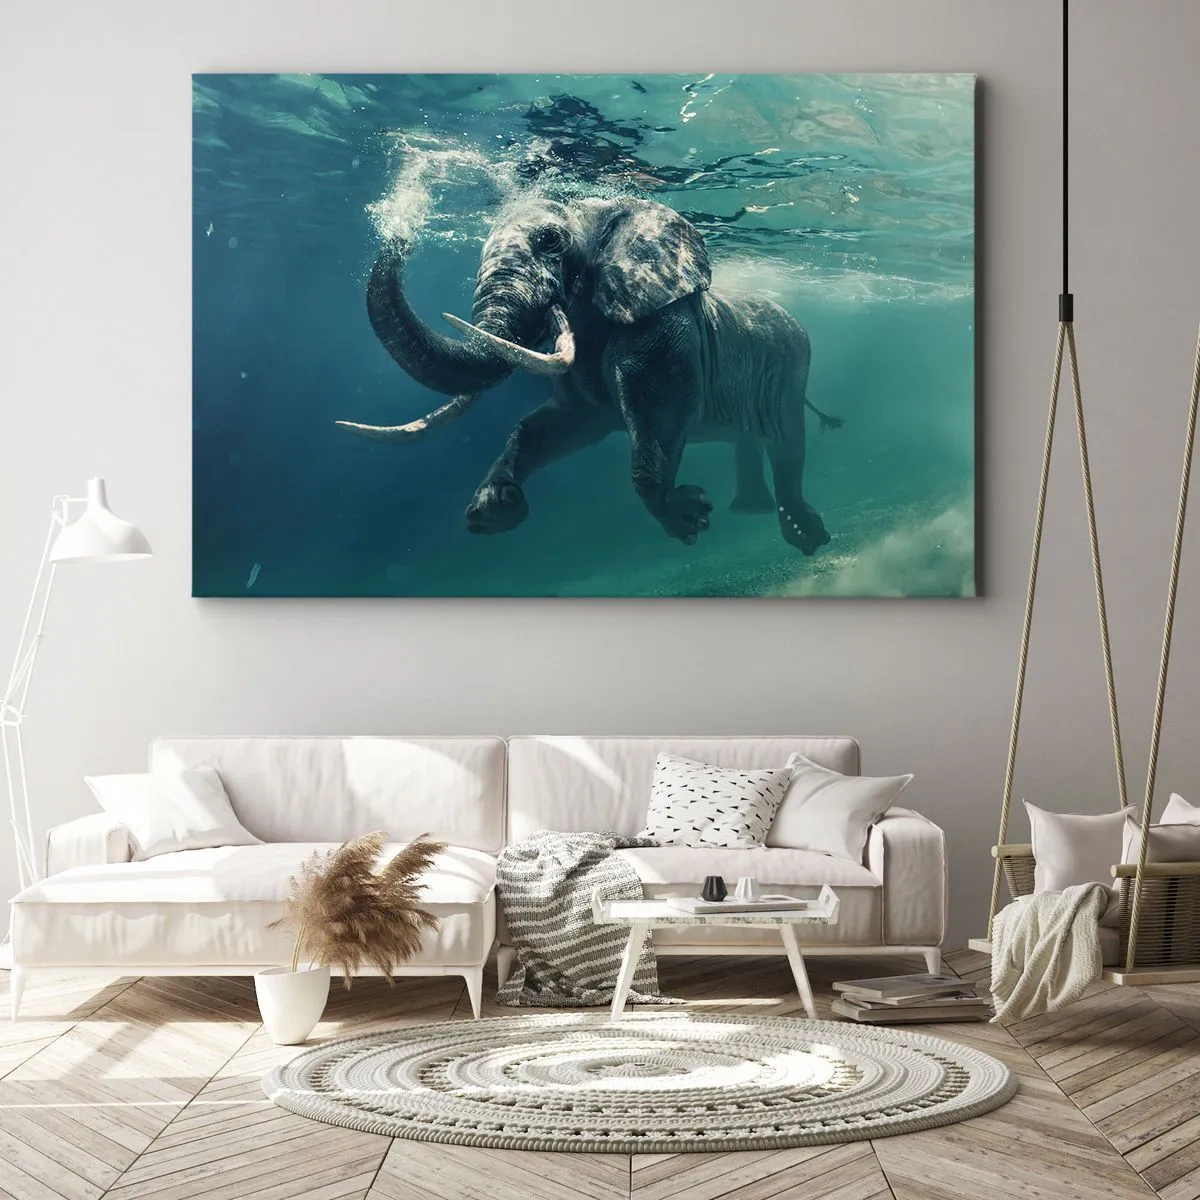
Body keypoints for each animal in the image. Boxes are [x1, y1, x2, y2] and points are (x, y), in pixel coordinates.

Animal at [337, 195, 837, 554]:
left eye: (550, 241)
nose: (400, 230)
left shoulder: (662, 327)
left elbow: (660, 416)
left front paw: (690, 518)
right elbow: (553, 425)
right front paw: (494, 509)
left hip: (793, 367)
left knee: (789, 445)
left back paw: (805, 536)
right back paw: (755, 513)